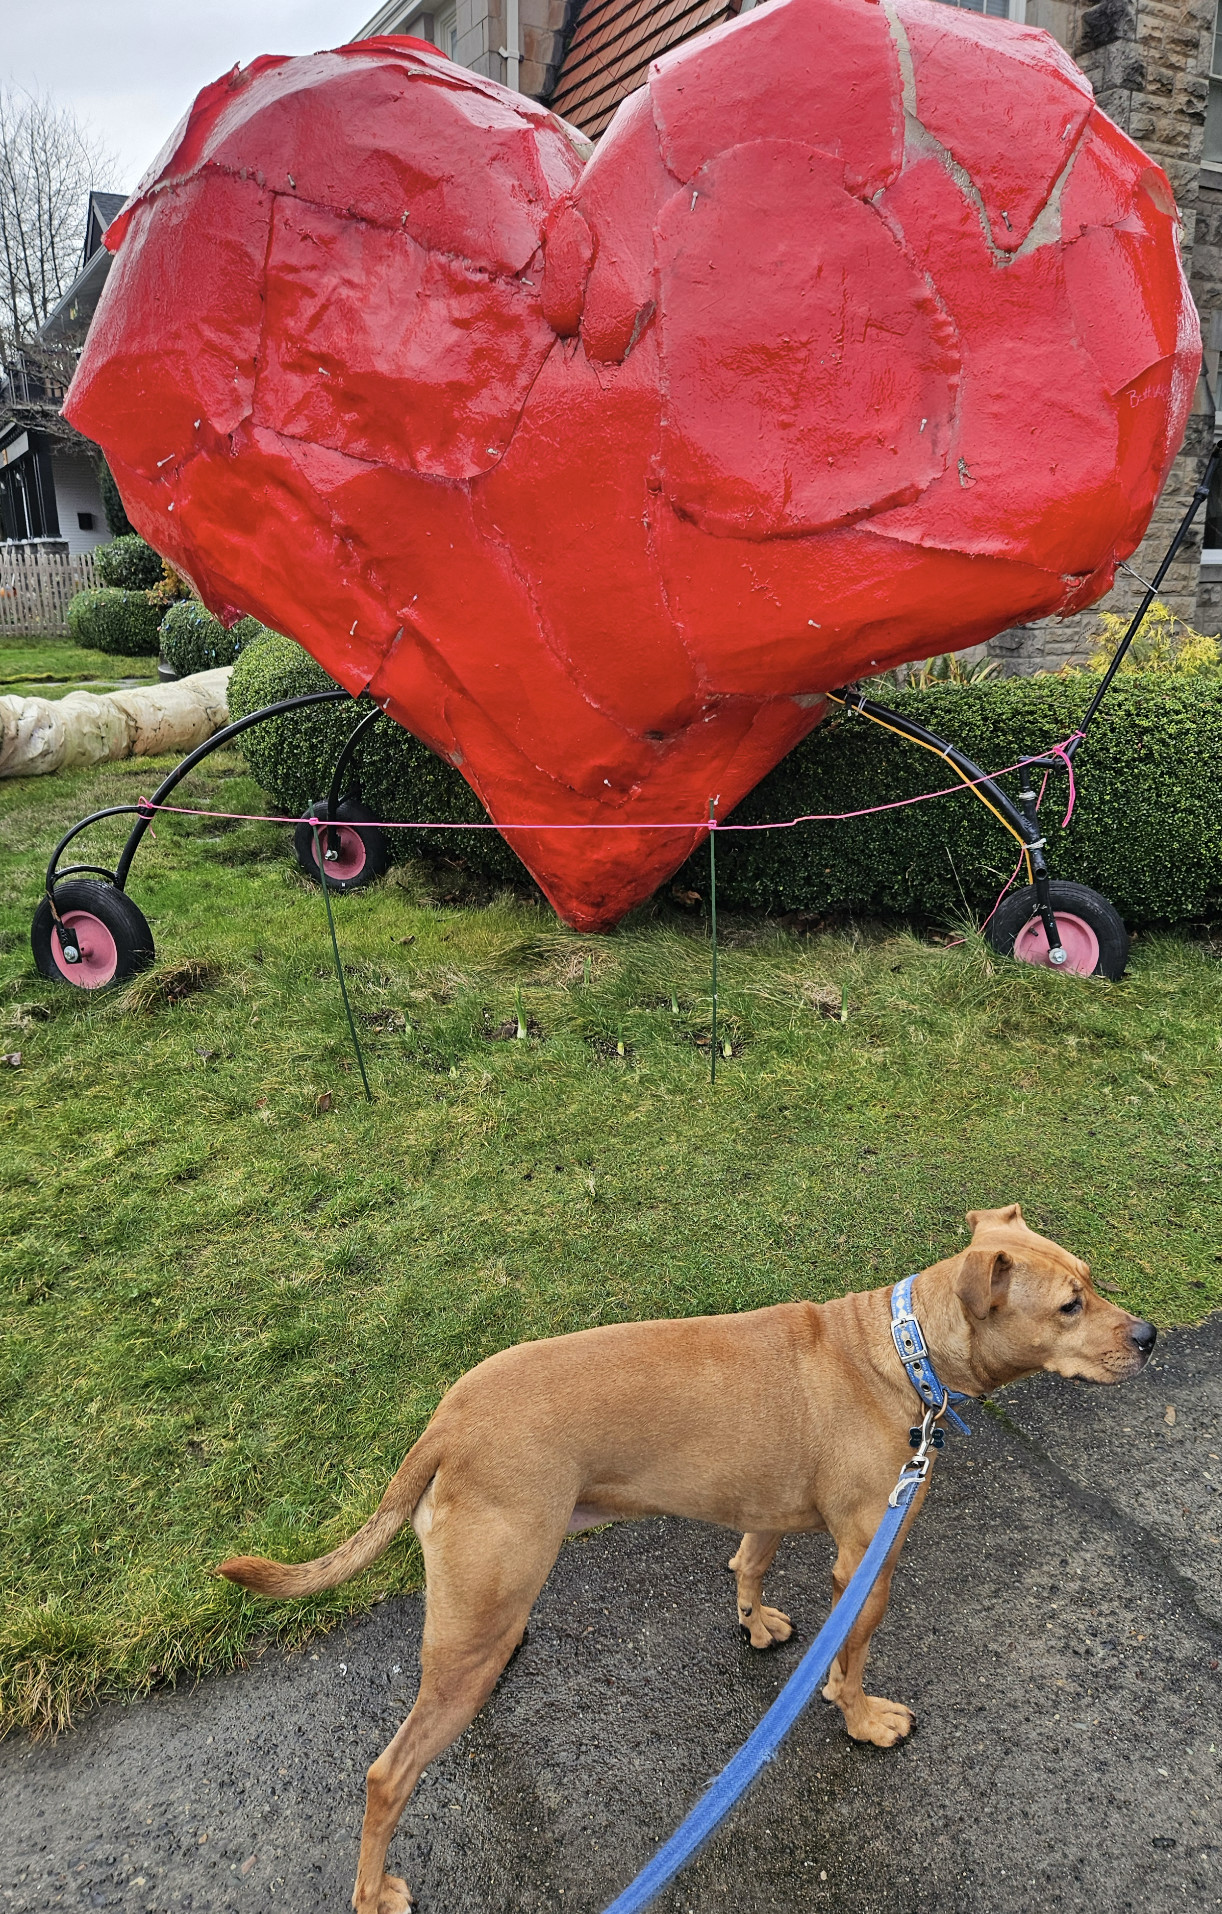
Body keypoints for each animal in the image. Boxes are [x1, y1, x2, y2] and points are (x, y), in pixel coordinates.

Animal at [218, 1201, 1156, 1906]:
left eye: (1092, 1282)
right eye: (1068, 1306)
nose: (1147, 1335)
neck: (900, 1352)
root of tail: (446, 1419)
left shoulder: (766, 1508)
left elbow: (750, 1563)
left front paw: (754, 1621)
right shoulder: (867, 1563)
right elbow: (850, 1658)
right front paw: (859, 1718)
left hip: (480, 1616)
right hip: (482, 1609)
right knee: (387, 1775)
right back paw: (373, 1891)